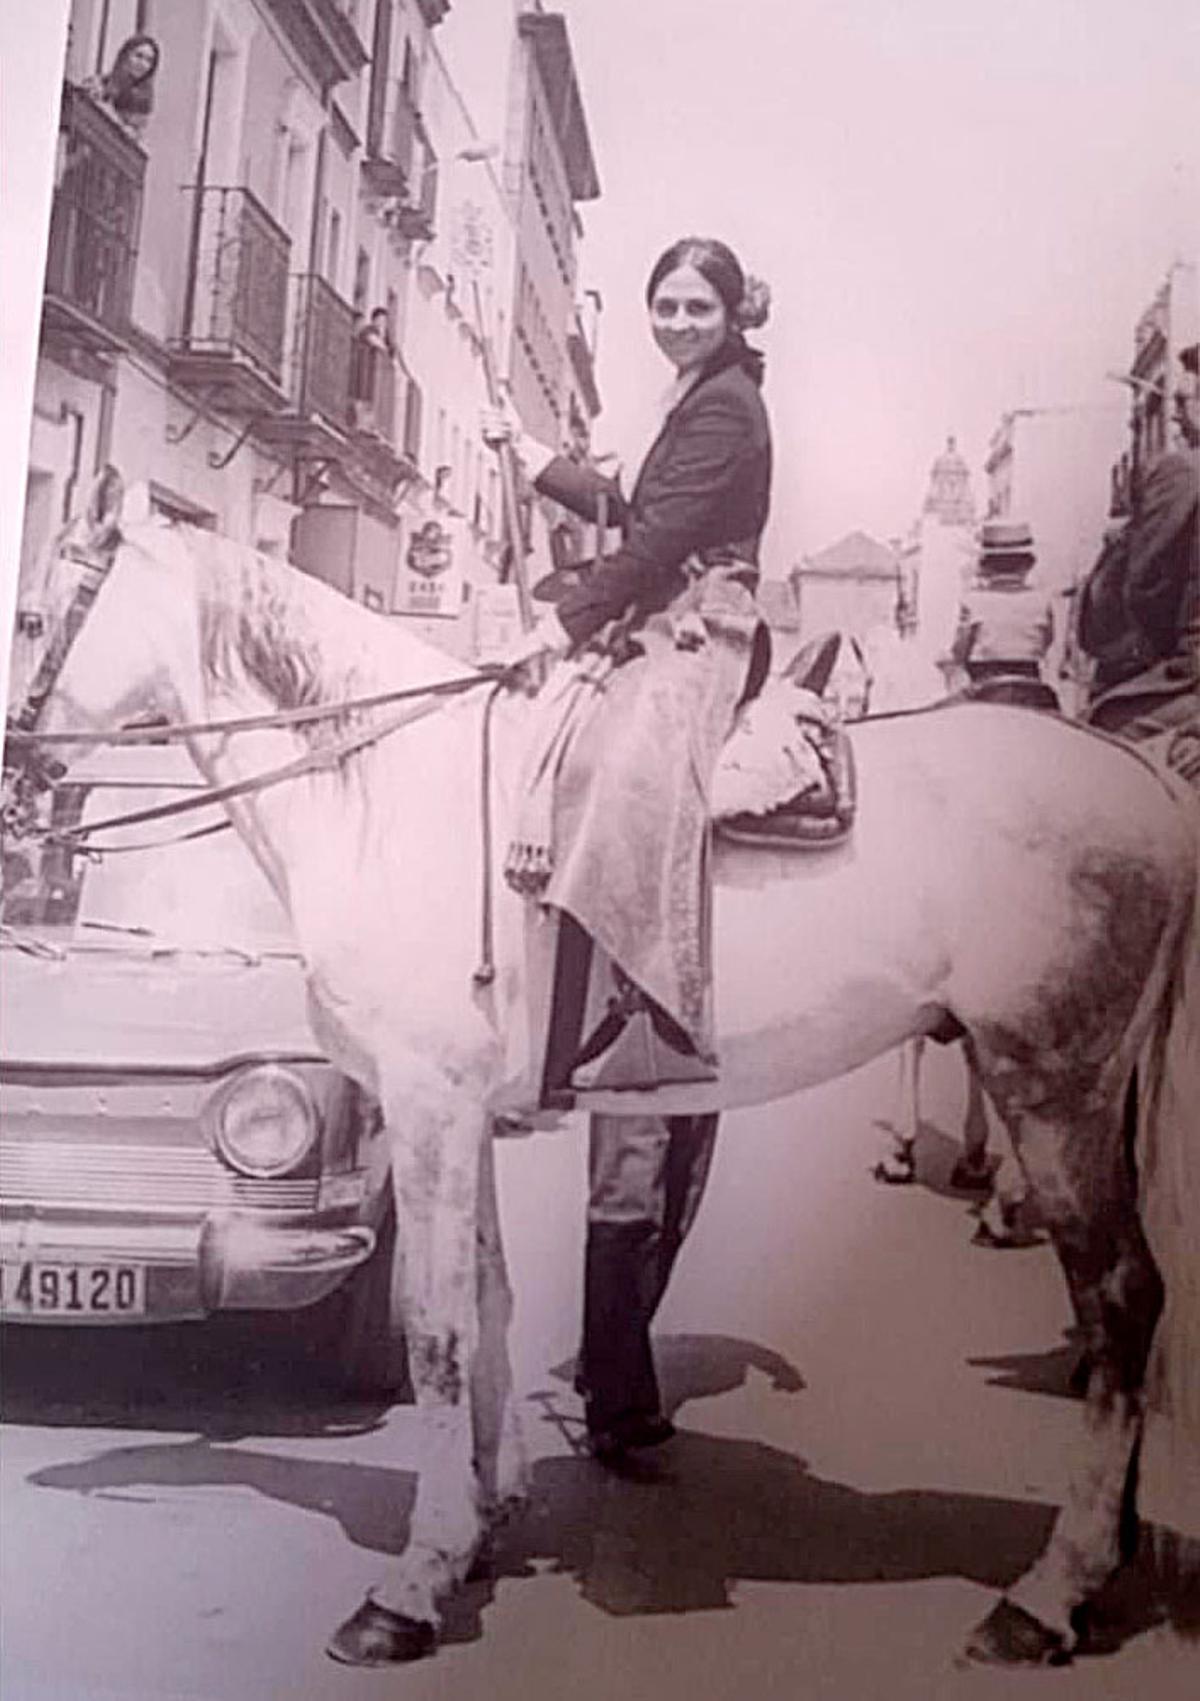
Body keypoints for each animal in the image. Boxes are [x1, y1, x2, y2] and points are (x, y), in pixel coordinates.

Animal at [11, 486, 1198, 1666]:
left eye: (34, 613)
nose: (19, 771)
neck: (386, 792)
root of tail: (1140, 779)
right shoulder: (464, 1116)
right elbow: (488, 1301)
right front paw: (480, 1523)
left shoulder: (426, 1108)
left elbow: (435, 1328)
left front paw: (410, 1587)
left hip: (1057, 1087)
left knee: (1122, 1301)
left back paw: (1048, 1591)